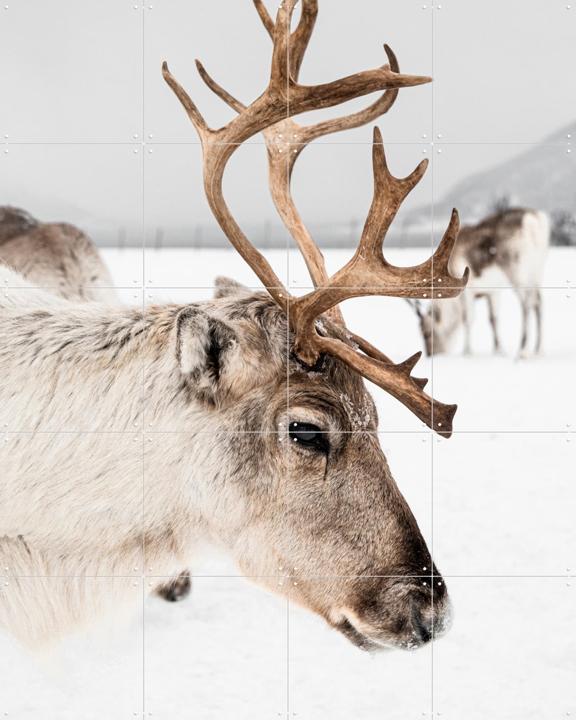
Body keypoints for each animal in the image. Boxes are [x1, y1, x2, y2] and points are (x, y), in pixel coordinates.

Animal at [409, 207, 549, 357]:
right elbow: (493, 319)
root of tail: (533, 220)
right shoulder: (492, 292)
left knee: (527, 303)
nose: (431, 354)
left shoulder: (467, 291)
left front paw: (467, 351)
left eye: (426, 333)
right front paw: (498, 350)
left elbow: (467, 318)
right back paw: (538, 349)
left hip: (517, 272)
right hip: (537, 271)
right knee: (538, 301)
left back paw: (523, 350)